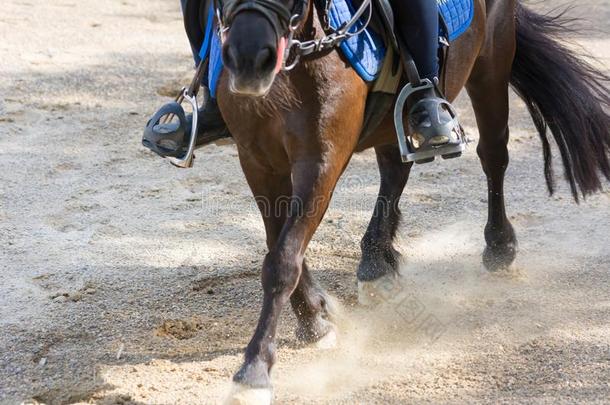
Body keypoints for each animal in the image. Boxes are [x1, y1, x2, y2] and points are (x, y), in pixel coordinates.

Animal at [210, 0, 608, 400]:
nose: (248, 58)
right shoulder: (256, 159)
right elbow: (277, 244)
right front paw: (316, 320)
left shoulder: (323, 158)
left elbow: (283, 261)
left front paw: (254, 372)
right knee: (395, 168)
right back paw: (376, 262)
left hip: (492, 60)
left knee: (493, 153)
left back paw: (499, 246)